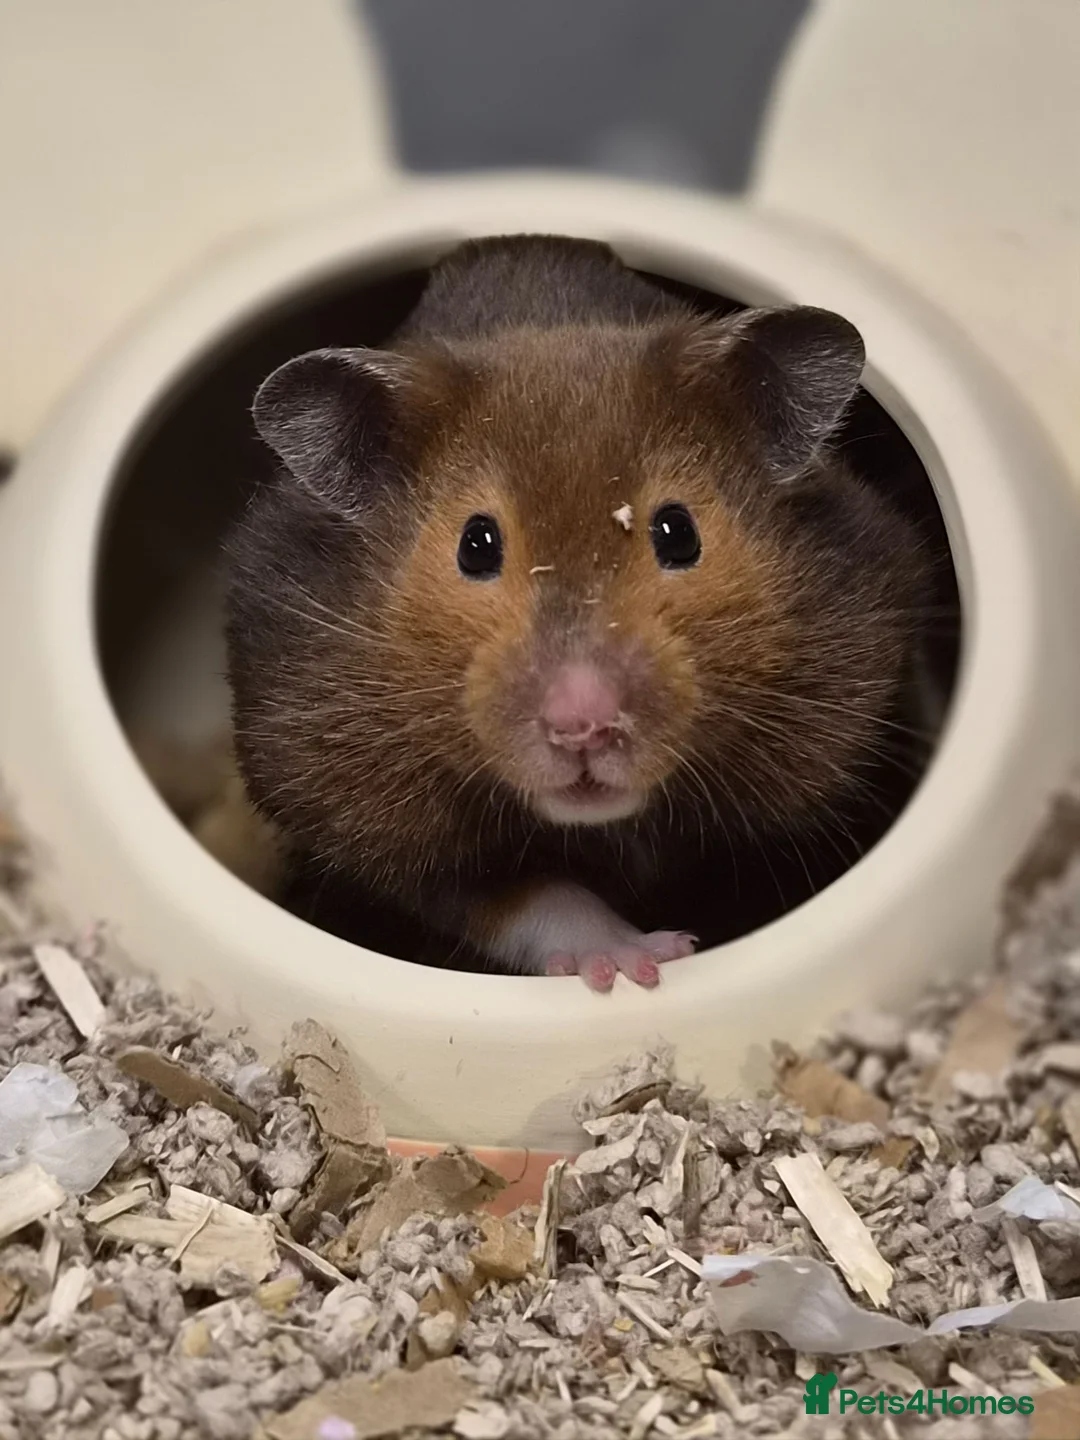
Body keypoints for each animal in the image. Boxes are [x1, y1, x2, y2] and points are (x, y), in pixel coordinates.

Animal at [224, 235, 939, 992]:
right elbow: (534, 897)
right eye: (475, 544)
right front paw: (637, 963)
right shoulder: (367, 809)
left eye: (678, 533)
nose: (582, 725)